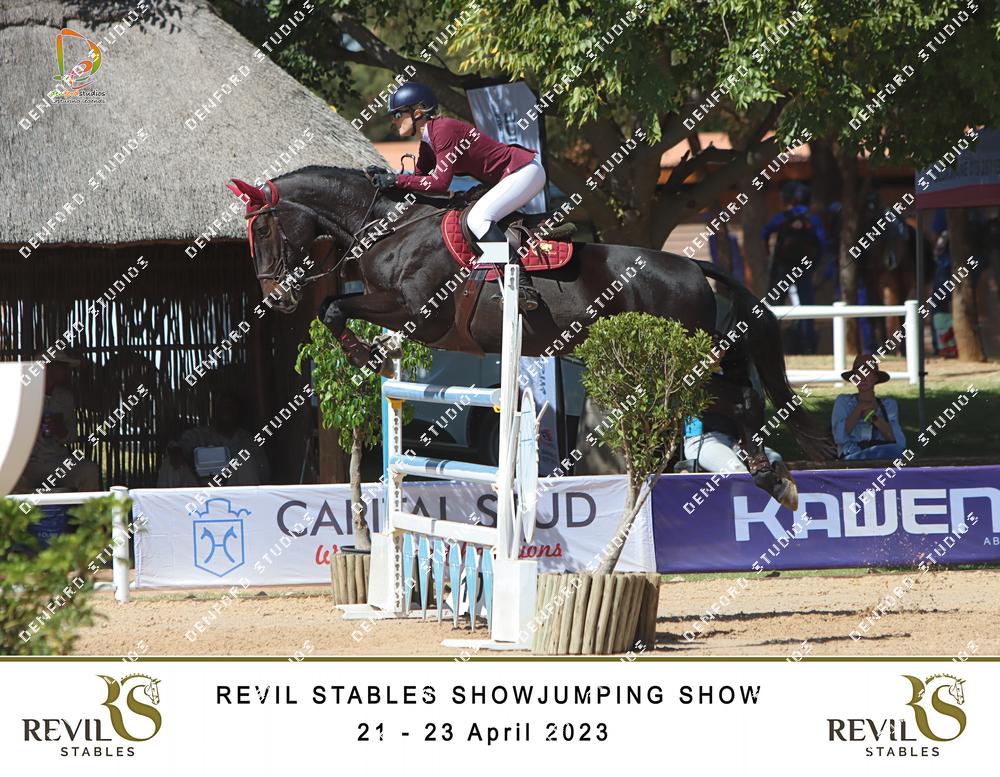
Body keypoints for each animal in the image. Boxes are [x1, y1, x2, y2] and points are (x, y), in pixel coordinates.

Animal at [227, 166, 834, 508]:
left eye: (263, 227)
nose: (276, 299)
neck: (394, 227)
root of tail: (693, 268)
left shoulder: (417, 311)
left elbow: (332, 307)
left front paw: (363, 355)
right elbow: (336, 309)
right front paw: (372, 355)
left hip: (674, 362)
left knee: (742, 400)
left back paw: (773, 478)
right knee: (740, 398)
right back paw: (771, 475)